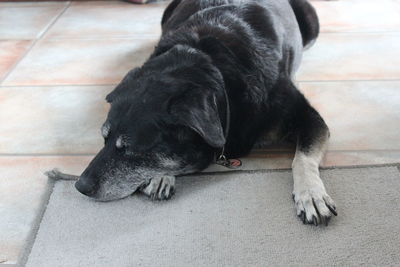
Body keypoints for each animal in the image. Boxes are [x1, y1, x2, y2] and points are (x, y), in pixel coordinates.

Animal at [52, 0, 338, 226]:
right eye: (104, 139)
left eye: (130, 149)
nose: (80, 186)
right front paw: (161, 177)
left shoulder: (308, 117)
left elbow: (302, 159)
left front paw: (311, 194)